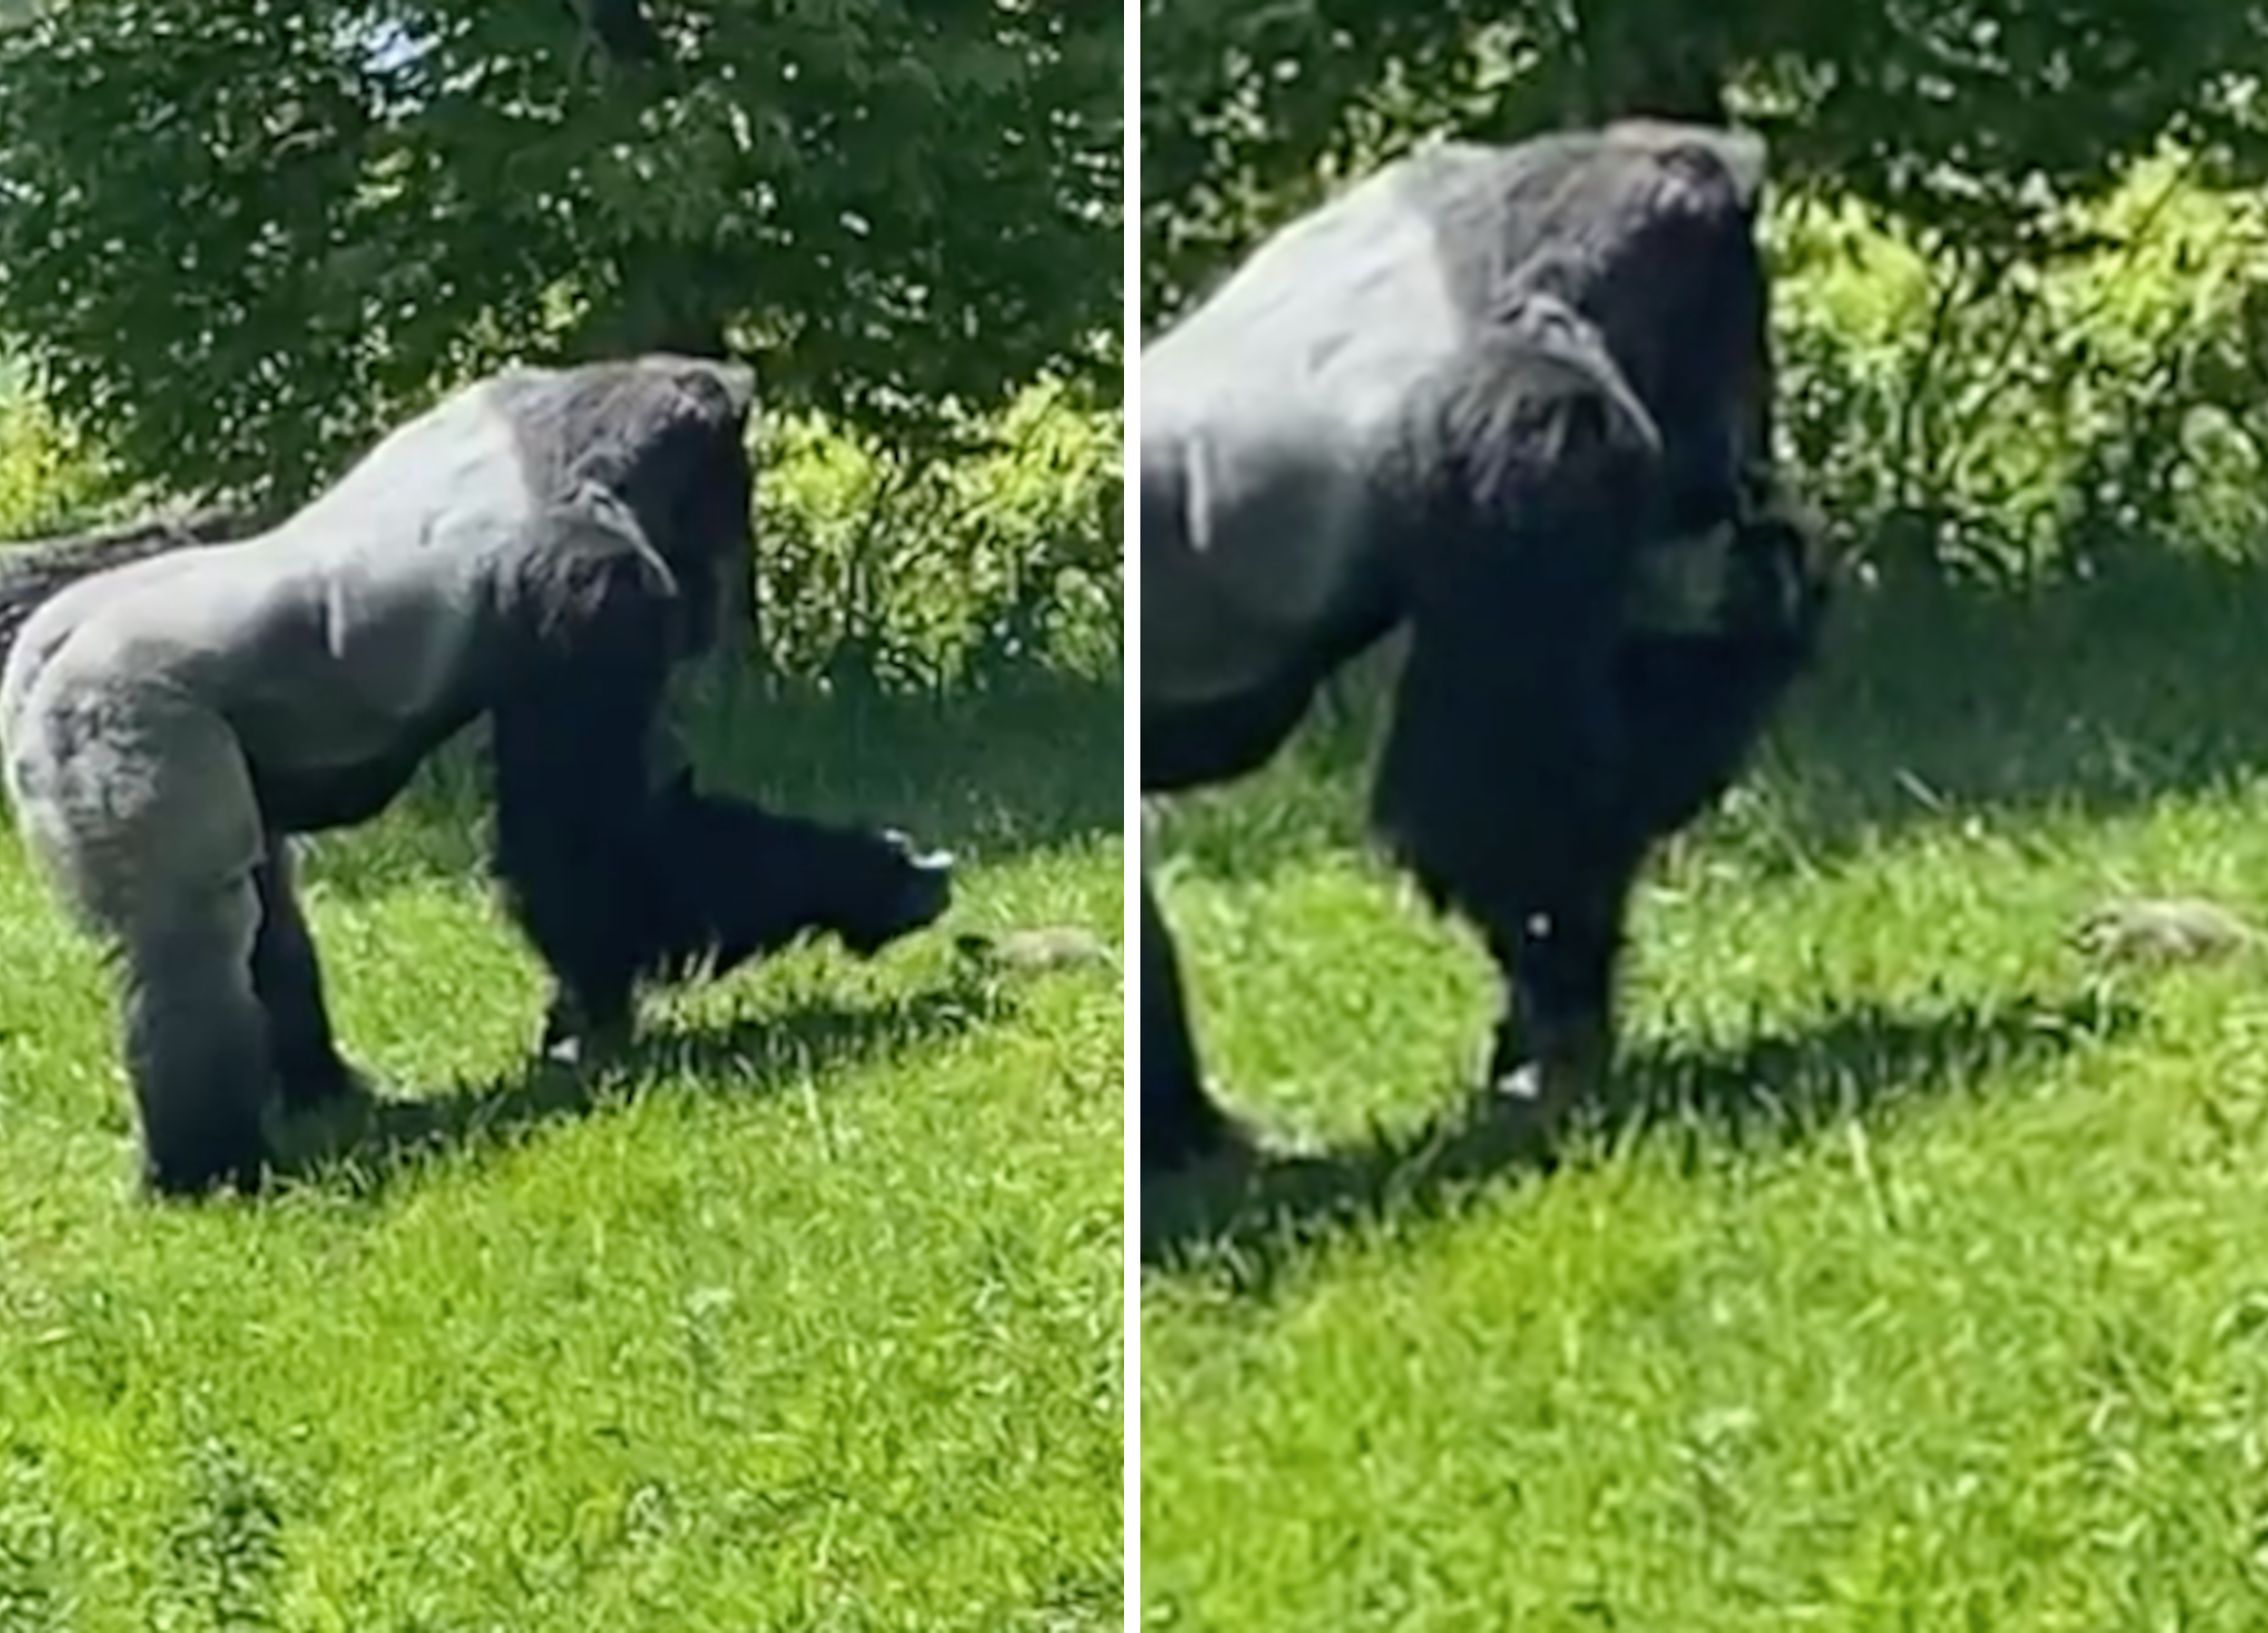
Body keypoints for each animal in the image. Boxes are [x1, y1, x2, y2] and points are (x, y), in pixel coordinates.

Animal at [0, 354, 957, 1198]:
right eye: (729, 502)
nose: (715, 604)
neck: (577, 441)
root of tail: (35, 661)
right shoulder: (595, 589)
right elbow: (585, 844)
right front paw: (875, 880)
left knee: (262, 906)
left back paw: (320, 1093)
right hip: (119, 718)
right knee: (193, 934)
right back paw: (208, 1169)